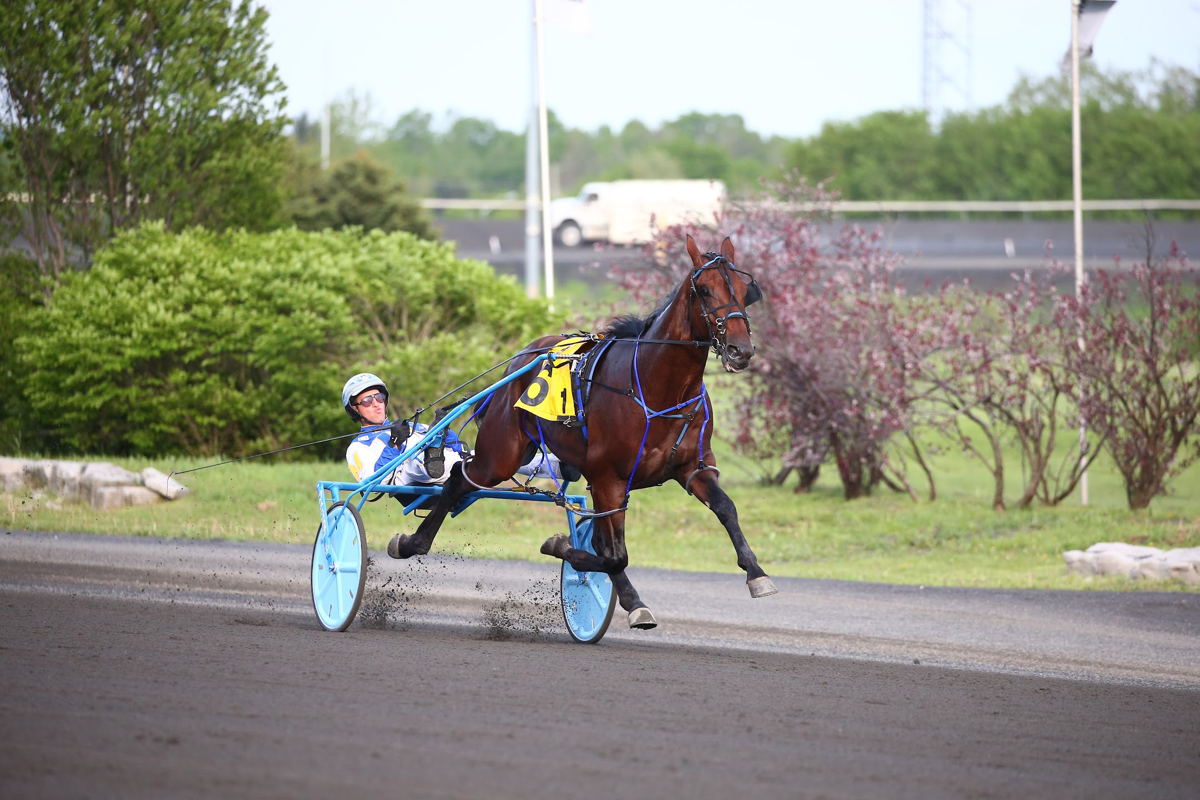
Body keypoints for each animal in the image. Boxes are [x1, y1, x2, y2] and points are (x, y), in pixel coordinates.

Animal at [386, 235, 777, 628]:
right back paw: (411, 543)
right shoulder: (608, 478)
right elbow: (615, 553)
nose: (740, 350)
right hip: (500, 454)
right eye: (706, 289)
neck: (659, 390)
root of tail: (521, 358)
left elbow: (726, 508)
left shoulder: (692, 467)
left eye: (745, 289)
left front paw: (756, 574)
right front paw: (564, 549)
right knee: (458, 478)